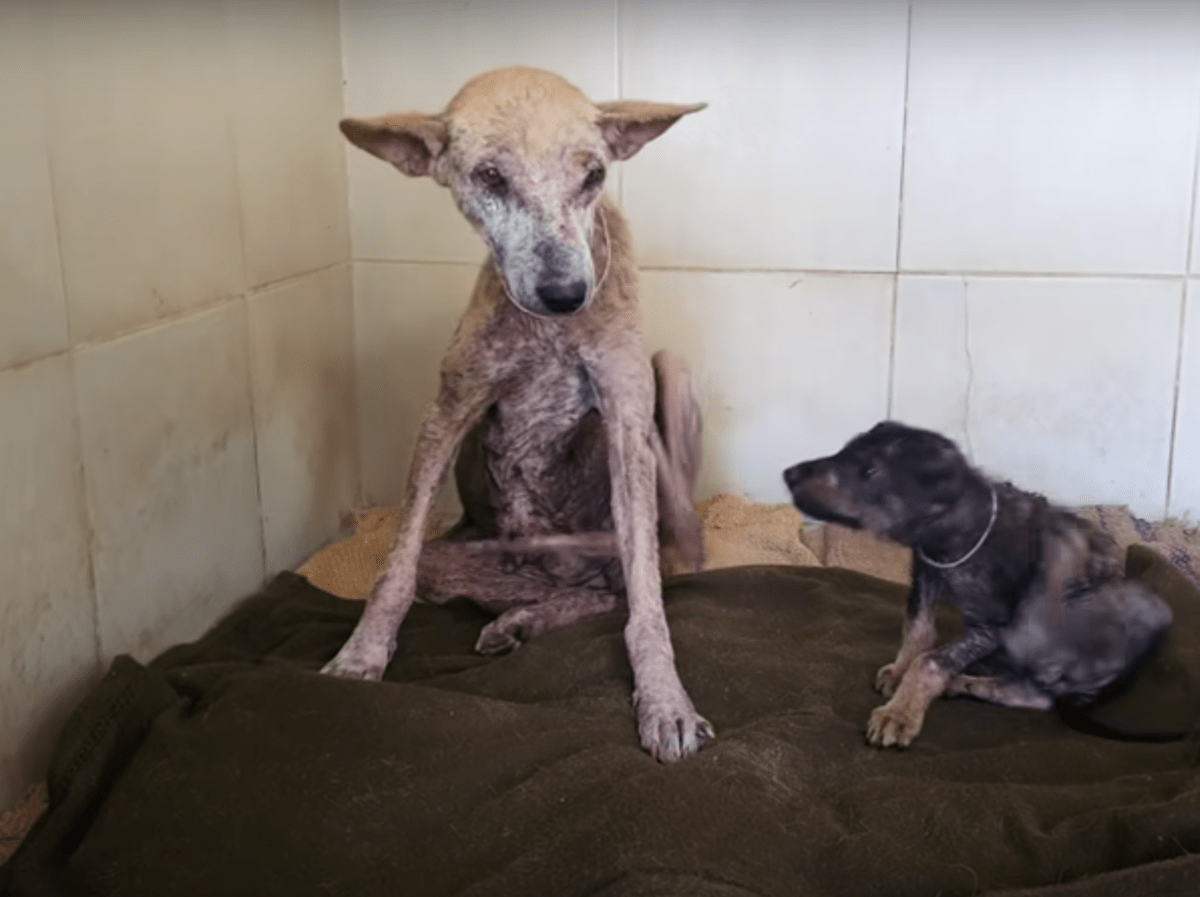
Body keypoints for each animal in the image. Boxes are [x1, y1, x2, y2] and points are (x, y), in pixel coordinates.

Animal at [321, 66, 710, 762]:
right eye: (491, 178)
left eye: (593, 175)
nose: (565, 294)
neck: (549, 332)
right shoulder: (445, 413)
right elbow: (395, 567)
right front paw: (361, 655)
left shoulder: (627, 422)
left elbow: (648, 609)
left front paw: (665, 701)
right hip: (478, 556)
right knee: (559, 588)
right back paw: (520, 617)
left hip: (669, 380)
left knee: (621, 584)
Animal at [782, 419, 1166, 748]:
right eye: (843, 451)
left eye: (871, 472)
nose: (788, 473)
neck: (956, 539)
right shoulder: (925, 573)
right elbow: (918, 628)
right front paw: (901, 673)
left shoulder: (995, 626)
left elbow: (931, 661)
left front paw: (900, 713)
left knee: (1038, 696)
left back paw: (965, 680)